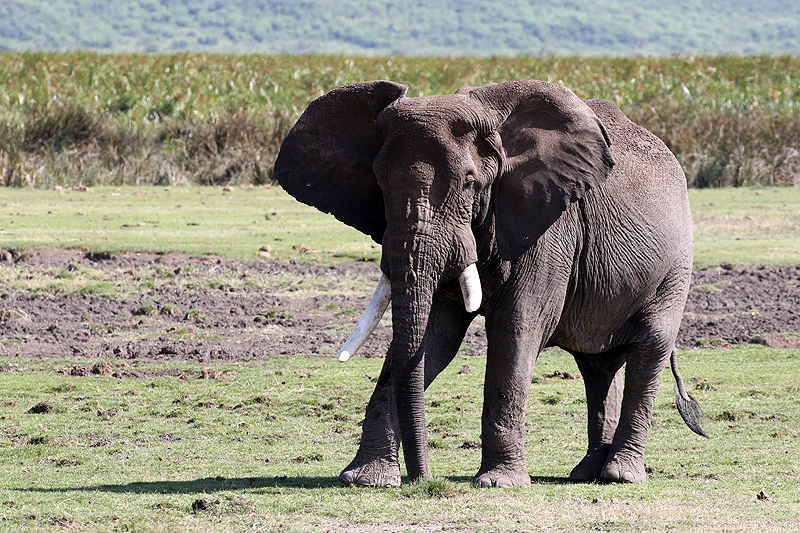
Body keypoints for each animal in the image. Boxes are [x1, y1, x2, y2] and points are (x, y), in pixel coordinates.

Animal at [276, 80, 708, 486]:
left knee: (650, 348)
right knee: (598, 368)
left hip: (675, 267)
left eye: (470, 184)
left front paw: (498, 482)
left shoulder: (549, 226)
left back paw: (620, 475)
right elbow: (433, 339)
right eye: (379, 187)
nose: (423, 478)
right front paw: (365, 479)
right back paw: (587, 473)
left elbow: (516, 330)